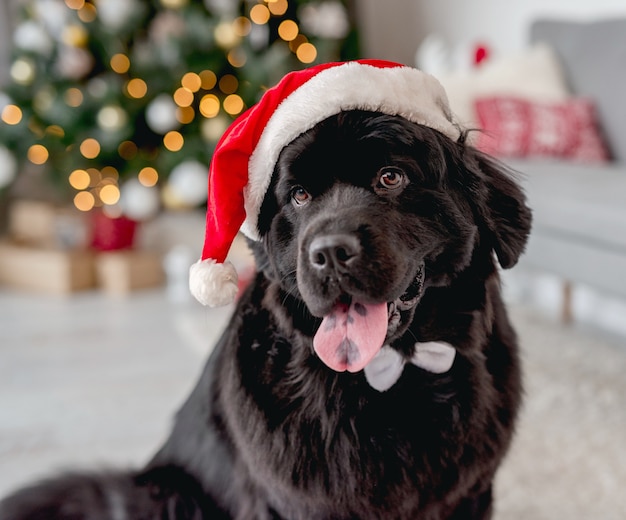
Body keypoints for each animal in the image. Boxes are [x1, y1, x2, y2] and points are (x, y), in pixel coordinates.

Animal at [0, 110, 528, 520]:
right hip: (171, 493)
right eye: (299, 195)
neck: (389, 373)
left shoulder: (471, 493)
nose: (329, 253)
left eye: (391, 177)